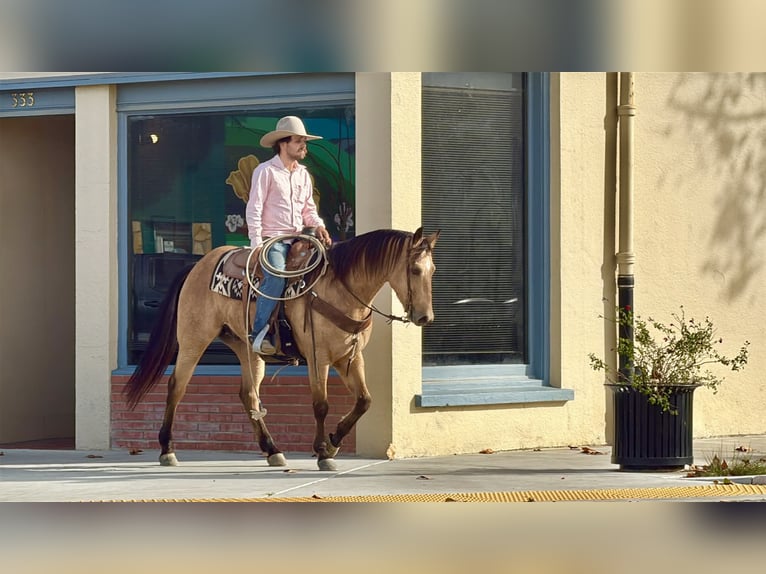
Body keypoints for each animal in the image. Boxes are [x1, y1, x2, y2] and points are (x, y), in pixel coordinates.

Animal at [123, 227, 440, 470]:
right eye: (414, 269)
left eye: (433, 270)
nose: (425, 318)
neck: (340, 288)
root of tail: (197, 265)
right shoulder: (318, 357)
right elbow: (321, 405)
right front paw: (323, 452)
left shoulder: (350, 357)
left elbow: (364, 400)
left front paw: (334, 441)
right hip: (194, 339)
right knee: (176, 386)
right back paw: (167, 450)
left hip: (246, 348)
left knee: (249, 395)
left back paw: (272, 449)